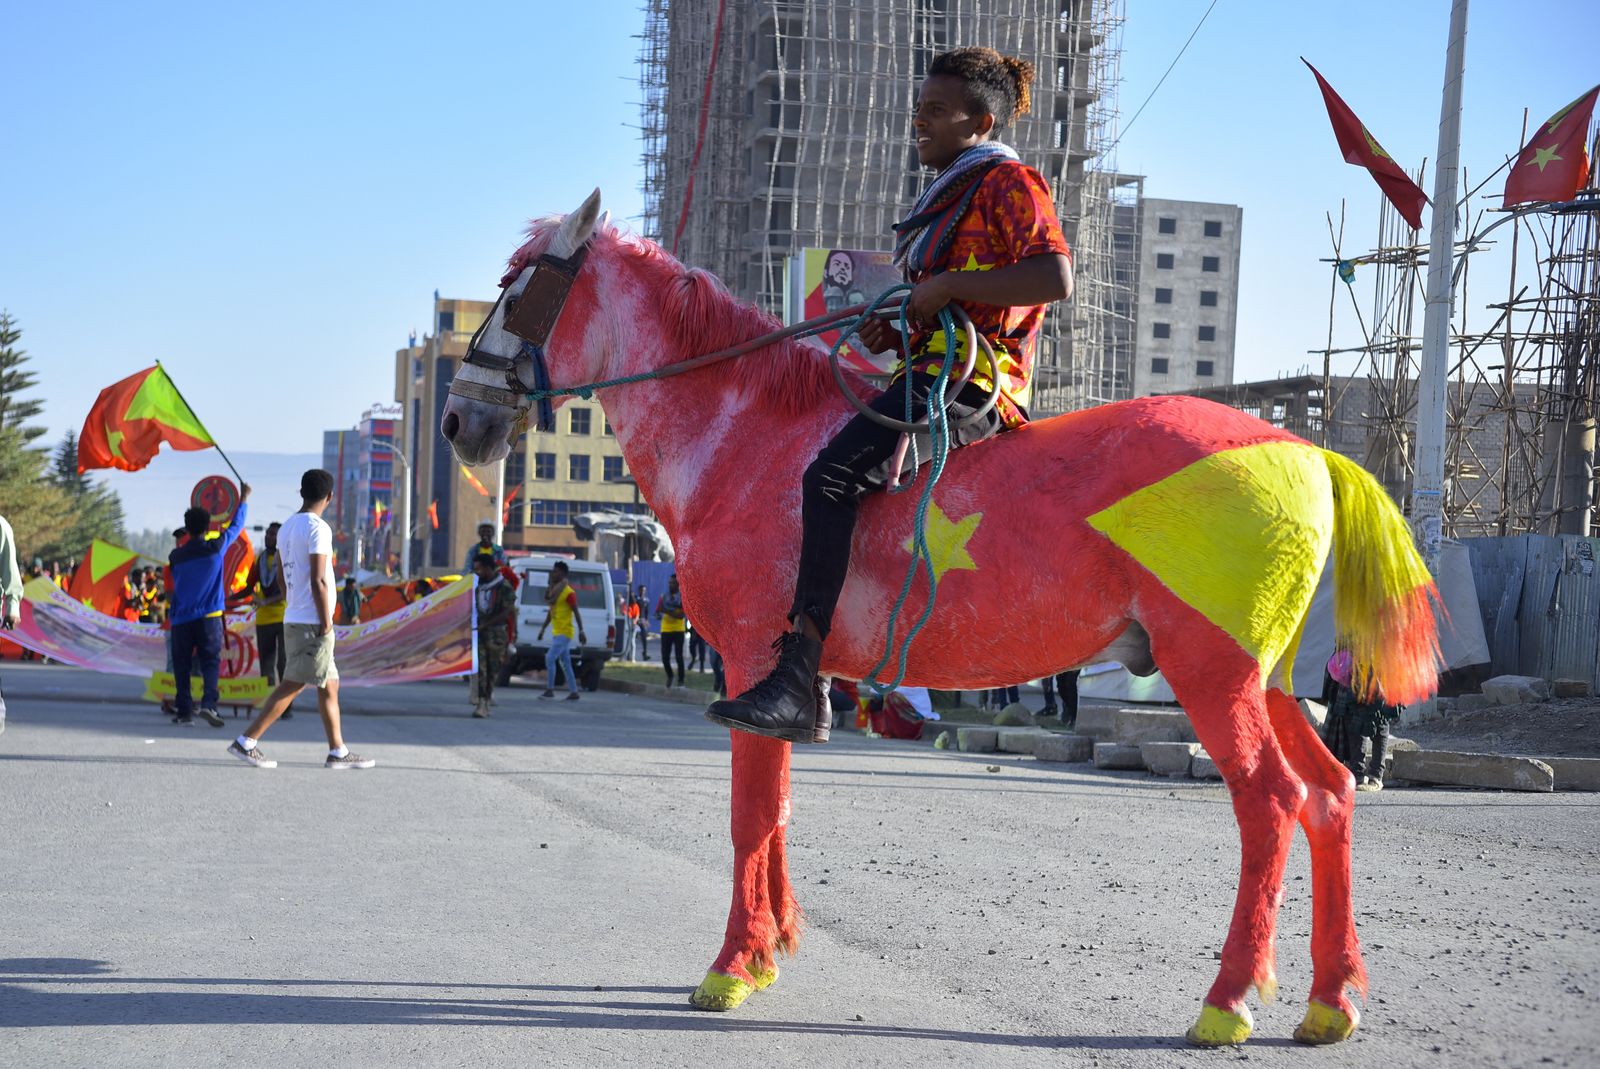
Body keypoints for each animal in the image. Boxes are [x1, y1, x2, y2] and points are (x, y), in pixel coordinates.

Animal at [438, 189, 1440, 1043]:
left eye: (517, 287)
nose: (455, 422)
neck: (745, 439)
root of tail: (1302, 449)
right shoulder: (788, 677)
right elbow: (781, 807)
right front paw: (769, 951)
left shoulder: (746, 663)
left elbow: (749, 815)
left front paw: (730, 966)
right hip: (1268, 677)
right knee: (1330, 792)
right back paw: (1329, 999)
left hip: (1212, 671)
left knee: (1270, 804)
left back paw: (1228, 1001)